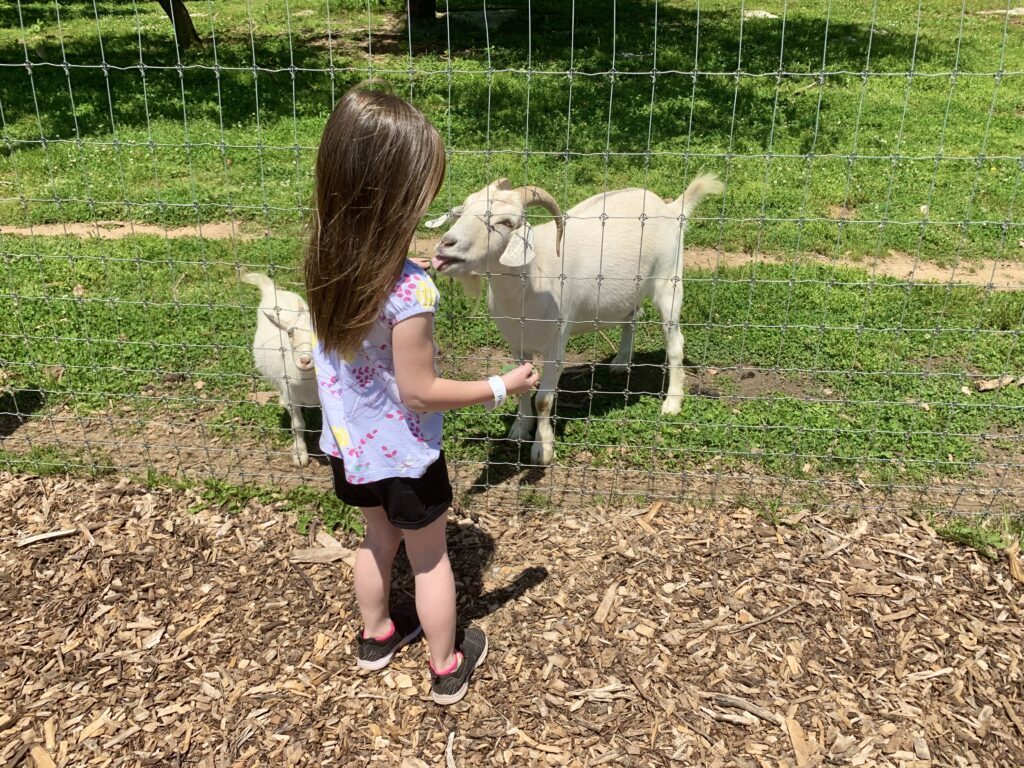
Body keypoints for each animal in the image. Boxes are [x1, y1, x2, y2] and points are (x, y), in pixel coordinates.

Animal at [241, 270, 317, 468]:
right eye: (290, 332)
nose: (304, 360)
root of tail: (273, 290)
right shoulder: (292, 396)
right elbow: (298, 424)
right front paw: (300, 454)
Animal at [428, 176, 724, 462]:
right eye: (462, 212)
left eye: (506, 222)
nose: (446, 245)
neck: (534, 280)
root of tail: (671, 208)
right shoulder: (516, 344)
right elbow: (522, 389)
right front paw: (520, 430)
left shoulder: (557, 344)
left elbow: (543, 400)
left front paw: (543, 449)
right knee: (631, 317)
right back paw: (621, 362)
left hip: (669, 281)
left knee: (675, 343)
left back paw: (672, 403)